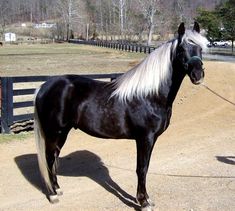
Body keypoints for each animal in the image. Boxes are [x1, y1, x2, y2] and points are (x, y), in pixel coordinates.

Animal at [34, 22, 207, 210]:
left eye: (200, 48)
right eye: (182, 49)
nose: (198, 75)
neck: (150, 95)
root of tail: (44, 86)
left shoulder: (150, 139)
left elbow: (145, 167)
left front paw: (145, 199)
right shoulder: (145, 138)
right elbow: (142, 168)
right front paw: (143, 202)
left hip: (62, 133)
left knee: (53, 158)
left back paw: (57, 189)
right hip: (54, 133)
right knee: (48, 159)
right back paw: (52, 195)